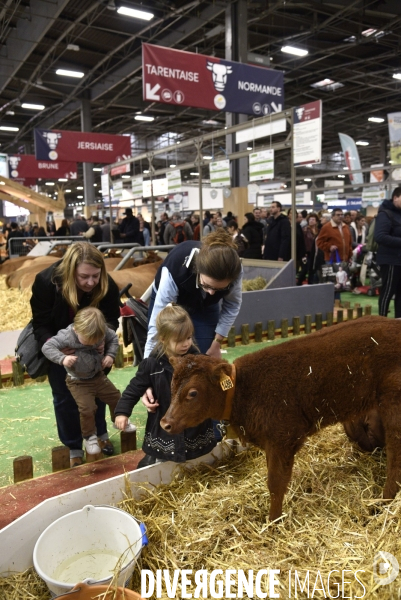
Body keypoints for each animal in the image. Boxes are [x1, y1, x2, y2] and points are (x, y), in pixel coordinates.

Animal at [161, 316, 400, 524]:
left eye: (192, 393)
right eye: (171, 386)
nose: (165, 422)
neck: (243, 390)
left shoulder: (283, 438)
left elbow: (275, 482)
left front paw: (273, 521)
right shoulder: (271, 442)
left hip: (393, 404)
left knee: (395, 453)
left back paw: (383, 501)